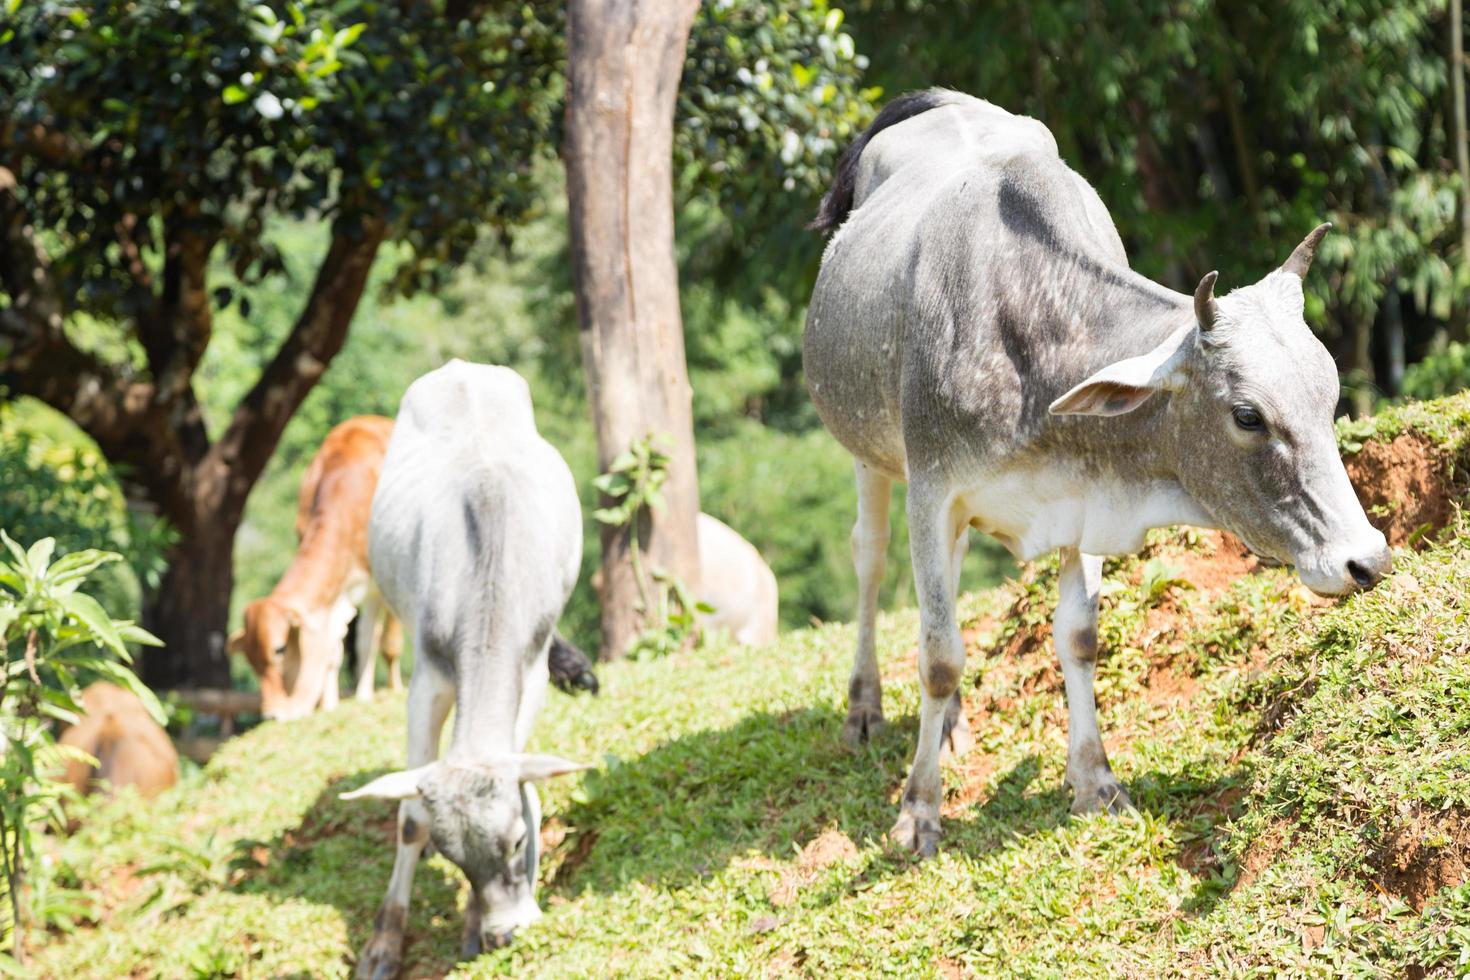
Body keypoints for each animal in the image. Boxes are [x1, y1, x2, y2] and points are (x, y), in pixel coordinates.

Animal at [229, 414, 402, 719]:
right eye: (250, 660)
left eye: (280, 649)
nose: (272, 714)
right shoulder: (332, 598)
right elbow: (334, 650)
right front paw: (330, 705)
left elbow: (381, 642)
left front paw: (383, 694)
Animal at [343, 362, 590, 980]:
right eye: (454, 859)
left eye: (520, 840)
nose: (509, 932)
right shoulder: (427, 677)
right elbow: (410, 818)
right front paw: (384, 943)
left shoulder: (531, 668)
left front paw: (475, 930)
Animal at [805, 91, 1387, 858]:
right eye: (1247, 415)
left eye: (1330, 395)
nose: (1367, 559)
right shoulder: (932, 491)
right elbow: (939, 658)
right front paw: (919, 811)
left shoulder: (1083, 495)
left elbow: (1078, 638)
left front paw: (1095, 782)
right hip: (871, 455)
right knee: (871, 563)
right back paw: (865, 709)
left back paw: (954, 724)